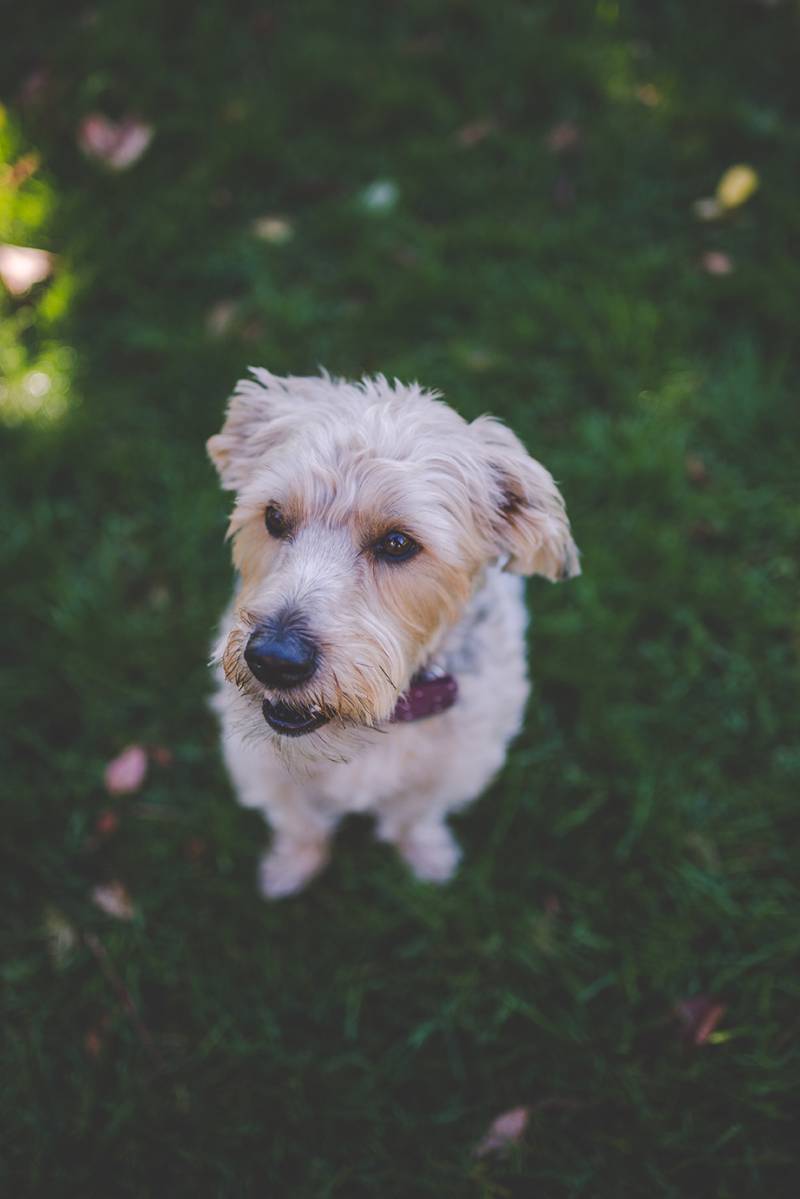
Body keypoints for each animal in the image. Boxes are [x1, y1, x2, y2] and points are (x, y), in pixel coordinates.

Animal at [209, 369, 578, 896]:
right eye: (274, 518)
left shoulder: (458, 764)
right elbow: (300, 821)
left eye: (398, 543)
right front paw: (292, 866)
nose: (274, 660)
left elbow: (413, 816)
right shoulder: (260, 767)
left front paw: (427, 858)